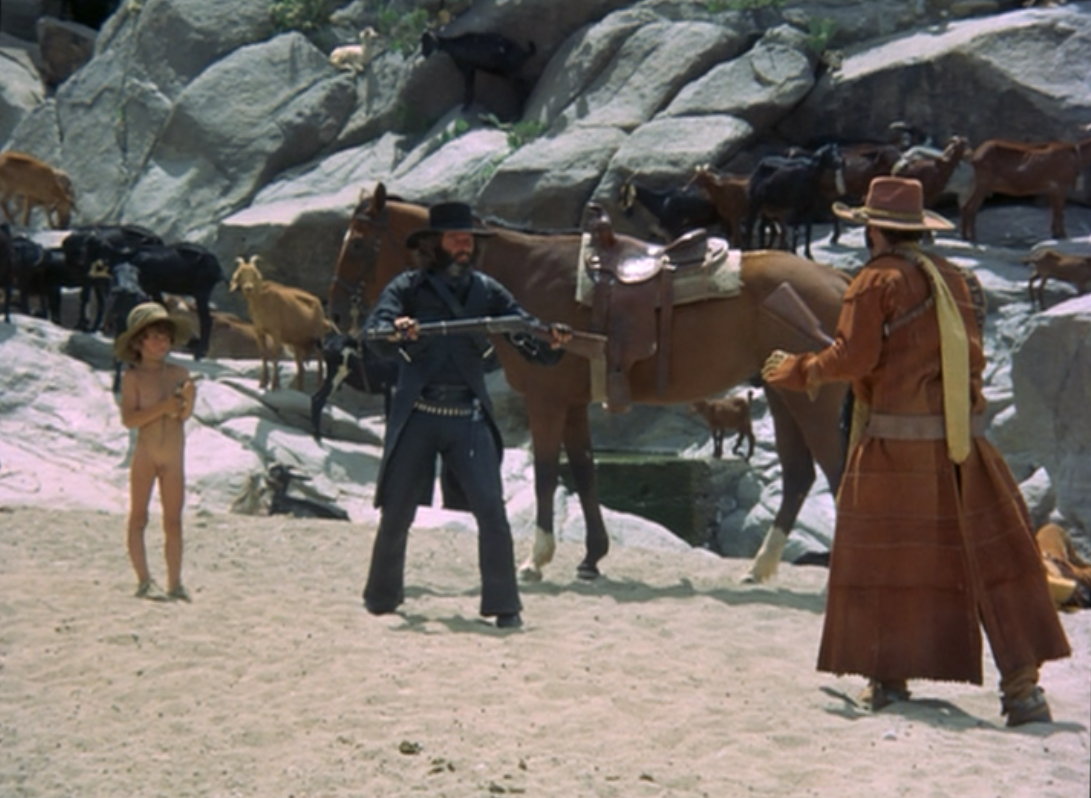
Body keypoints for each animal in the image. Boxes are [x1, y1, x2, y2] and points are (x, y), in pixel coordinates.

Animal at [329, 183, 851, 583]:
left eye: (356, 244)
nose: (334, 313)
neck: (529, 276)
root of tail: (838, 281)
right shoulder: (574, 403)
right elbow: (583, 470)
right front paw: (592, 557)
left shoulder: (546, 399)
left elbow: (545, 470)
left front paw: (535, 559)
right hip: (784, 396)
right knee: (799, 476)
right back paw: (759, 567)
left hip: (813, 404)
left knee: (834, 472)